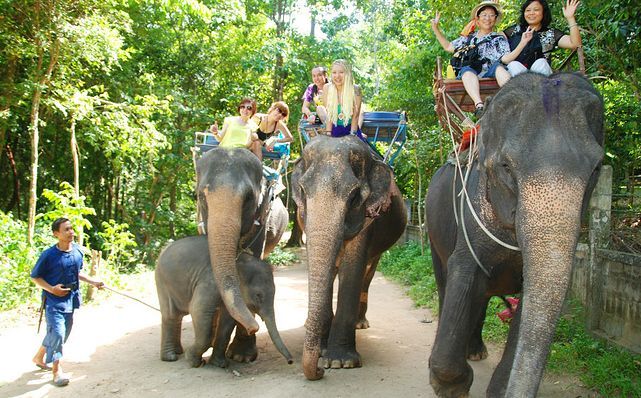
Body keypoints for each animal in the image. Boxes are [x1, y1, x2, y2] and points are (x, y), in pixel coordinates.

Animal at [155, 235, 292, 368]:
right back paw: (170, 357)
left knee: (177, 316)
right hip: (162, 281)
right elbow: (198, 310)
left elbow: (227, 321)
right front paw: (195, 362)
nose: (290, 361)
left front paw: (220, 364)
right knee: (170, 315)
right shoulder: (210, 283)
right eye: (258, 296)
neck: (238, 261)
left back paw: (178, 351)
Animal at [290, 136, 404, 380]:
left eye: (354, 196)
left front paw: (339, 362)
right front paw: (322, 351)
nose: (319, 371)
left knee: (368, 273)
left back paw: (360, 324)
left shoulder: (368, 218)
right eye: (302, 190)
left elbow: (352, 268)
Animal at [424, 73, 604, 396]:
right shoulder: (470, 213)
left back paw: (476, 351)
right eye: (506, 166)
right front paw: (449, 384)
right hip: (434, 231)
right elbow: (463, 273)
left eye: (596, 168)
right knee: (446, 284)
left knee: (481, 297)